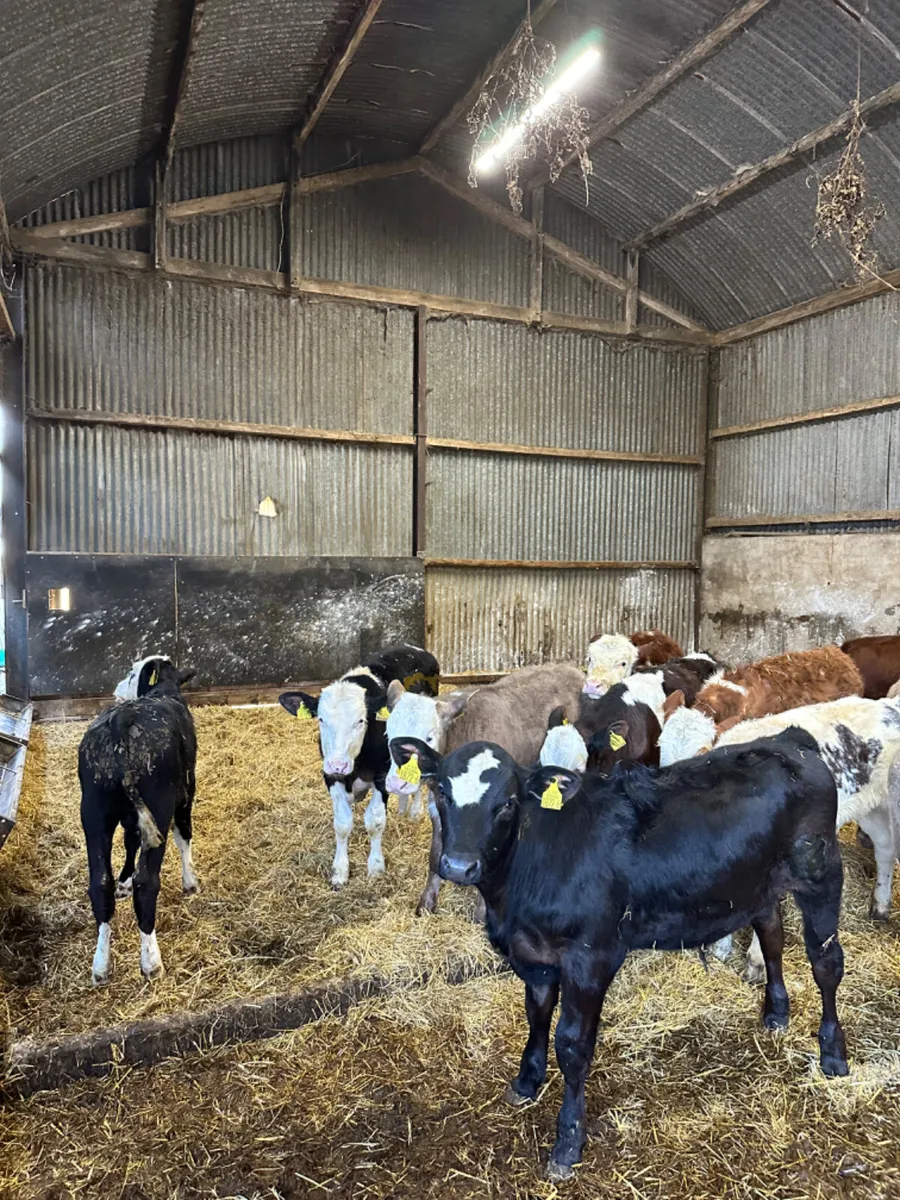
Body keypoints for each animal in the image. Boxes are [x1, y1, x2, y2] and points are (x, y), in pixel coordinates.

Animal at [79, 655, 197, 984]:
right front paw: (191, 881)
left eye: (131, 673)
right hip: (159, 805)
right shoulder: (187, 791)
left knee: (99, 883)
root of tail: (122, 720)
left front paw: (124, 881)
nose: (117, 687)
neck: (165, 690)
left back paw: (101, 965)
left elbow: (130, 841)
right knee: (148, 882)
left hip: (93, 812)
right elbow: (184, 835)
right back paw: (151, 962)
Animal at [278, 645, 439, 888]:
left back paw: (414, 812)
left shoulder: (381, 775)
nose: (338, 763)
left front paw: (375, 867)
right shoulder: (331, 776)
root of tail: (415, 649)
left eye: (361, 721)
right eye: (321, 719)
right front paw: (340, 871)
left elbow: (375, 821)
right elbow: (342, 823)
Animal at [384, 663, 585, 915]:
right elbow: (435, 853)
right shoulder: (437, 806)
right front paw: (426, 903)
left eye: (429, 737)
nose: (396, 783)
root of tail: (570, 667)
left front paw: (481, 913)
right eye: (389, 734)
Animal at [388, 731, 848, 1179]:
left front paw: (568, 1141)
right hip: (757, 886)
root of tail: (791, 741)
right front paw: (526, 1082)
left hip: (821, 873)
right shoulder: (533, 955)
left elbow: (573, 1044)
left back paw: (833, 1054)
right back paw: (776, 1013)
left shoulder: (591, 957)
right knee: (772, 934)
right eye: (442, 791)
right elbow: (536, 1016)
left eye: (507, 803)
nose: (458, 865)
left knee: (826, 962)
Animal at [659, 692, 900, 977]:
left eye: (702, 755)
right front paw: (721, 949)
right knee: (884, 849)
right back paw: (880, 907)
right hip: (870, 807)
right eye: (660, 747)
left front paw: (755, 962)